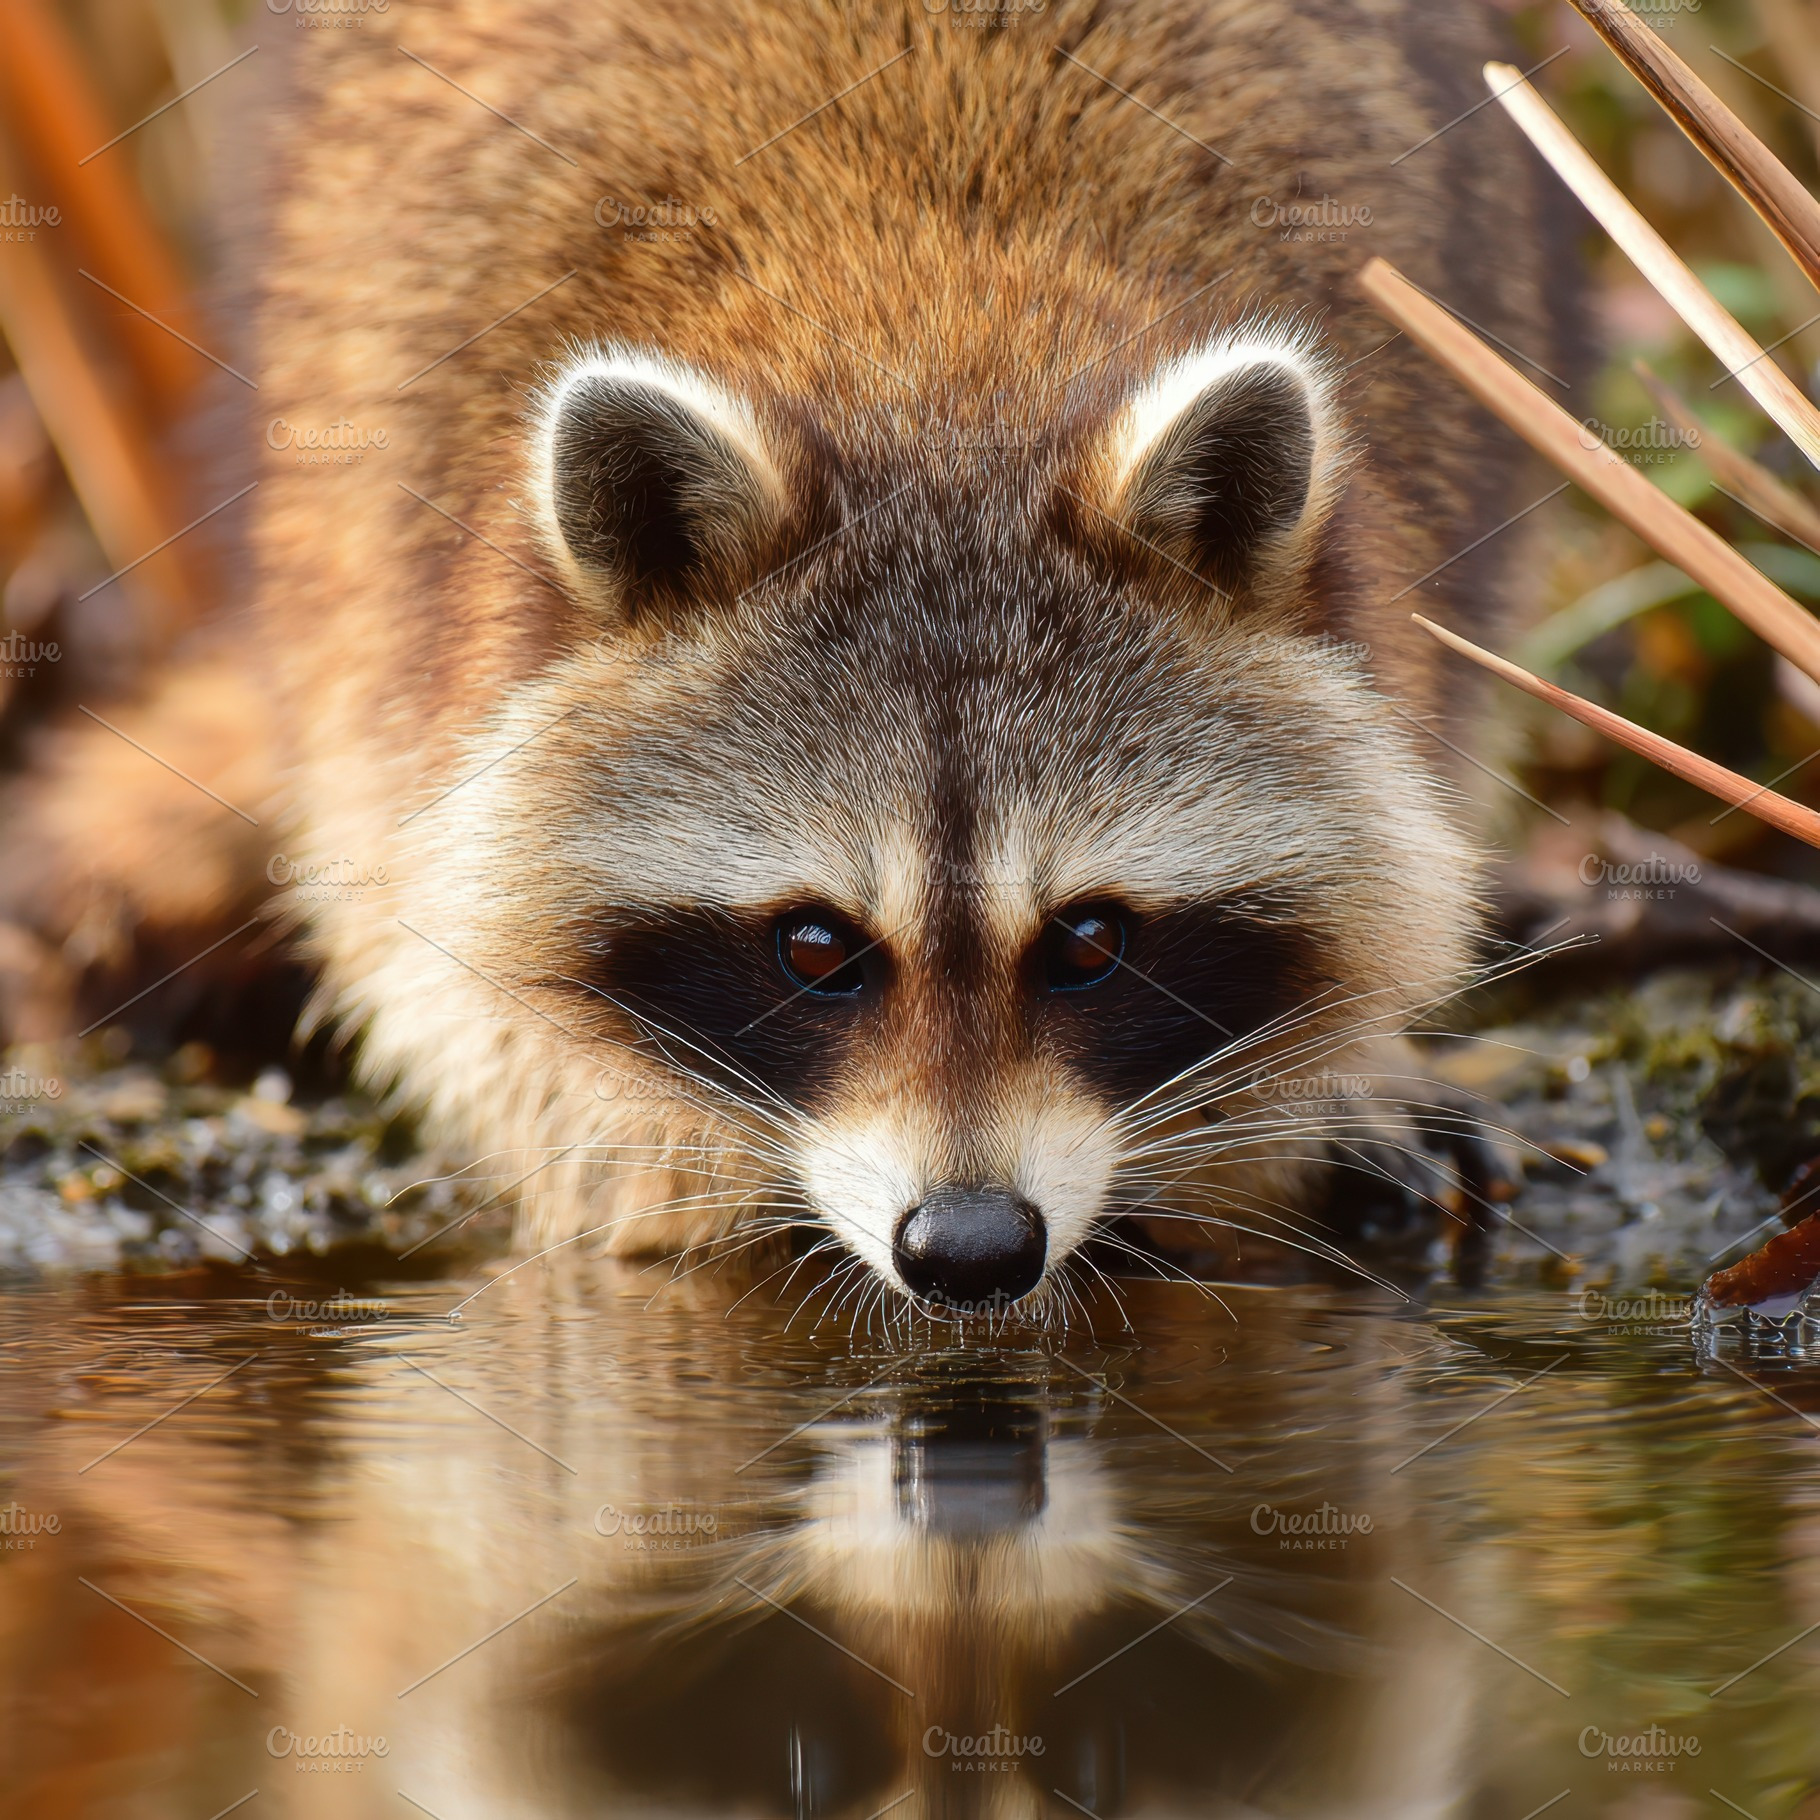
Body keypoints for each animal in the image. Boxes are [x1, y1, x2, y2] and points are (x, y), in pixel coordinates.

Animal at [0, 0, 1571, 1312]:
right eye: (815, 946)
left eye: (1089, 940)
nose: (970, 1247)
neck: (932, 333)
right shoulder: (399, 617)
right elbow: (456, 968)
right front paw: (667, 1176)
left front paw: (1310, 1085)